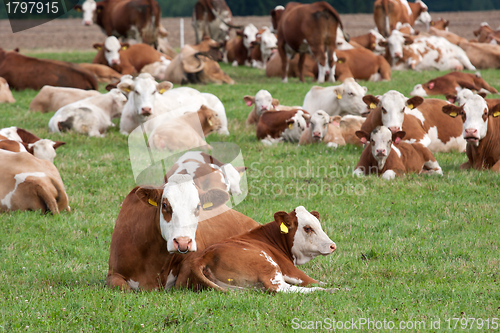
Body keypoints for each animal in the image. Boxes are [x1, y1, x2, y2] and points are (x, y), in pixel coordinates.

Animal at [174, 206, 338, 292]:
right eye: (307, 228)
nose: (333, 246)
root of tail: (204, 256)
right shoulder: (290, 270)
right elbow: (314, 281)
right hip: (268, 265)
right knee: (280, 288)